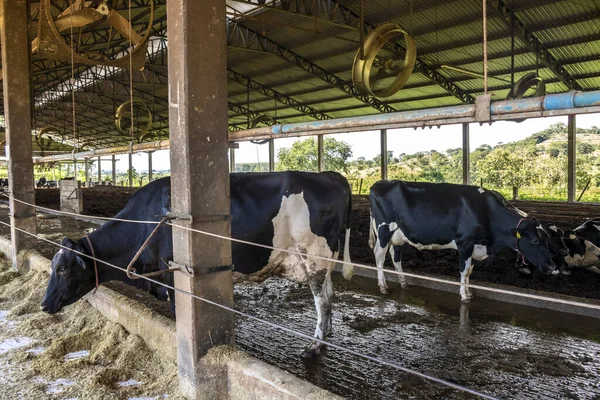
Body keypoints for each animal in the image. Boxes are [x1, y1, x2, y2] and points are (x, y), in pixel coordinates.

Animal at [41, 170, 352, 358]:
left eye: (63, 268)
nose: (43, 305)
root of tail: (329, 175)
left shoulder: (171, 274)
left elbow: (177, 311)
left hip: (314, 256)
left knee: (322, 299)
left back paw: (315, 345)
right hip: (323, 260)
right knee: (330, 293)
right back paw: (327, 333)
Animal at [356, 180, 556, 302]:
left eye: (547, 239)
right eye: (535, 241)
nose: (552, 267)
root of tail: (380, 183)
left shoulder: (475, 246)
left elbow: (469, 271)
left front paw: (468, 291)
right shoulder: (465, 242)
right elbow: (464, 270)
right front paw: (464, 295)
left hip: (398, 235)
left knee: (395, 256)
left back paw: (403, 282)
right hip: (384, 230)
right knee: (379, 255)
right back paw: (383, 286)